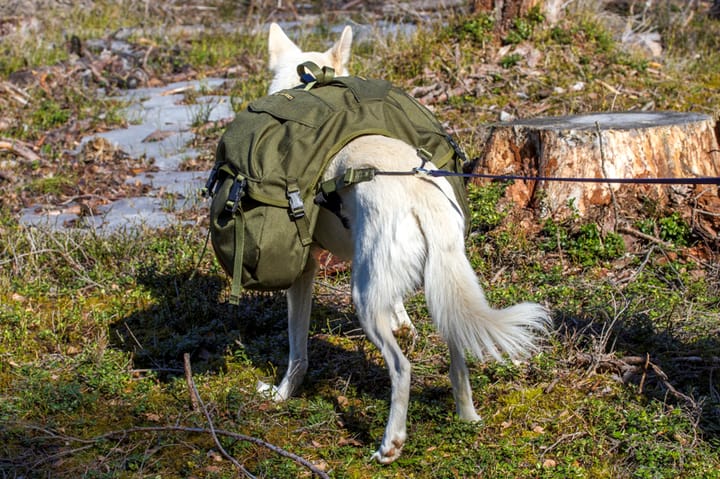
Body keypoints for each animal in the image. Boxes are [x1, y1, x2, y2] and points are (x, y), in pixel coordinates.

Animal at [262, 23, 548, 464]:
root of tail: (421, 193)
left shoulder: (304, 275)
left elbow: (297, 352)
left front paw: (281, 395)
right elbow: (399, 310)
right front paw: (405, 322)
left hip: (363, 299)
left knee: (402, 369)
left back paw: (390, 443)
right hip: (443, 283)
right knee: (457, 353)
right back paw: (467, 416)